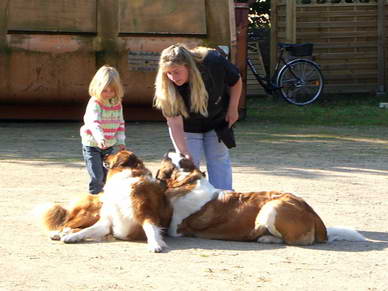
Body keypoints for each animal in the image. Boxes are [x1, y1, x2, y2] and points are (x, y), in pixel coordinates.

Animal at [36, 151, 173, 253]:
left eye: (115, 153)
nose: (105, 154)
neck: (126, 179)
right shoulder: (108, 222)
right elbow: (88, 230)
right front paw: (72, 237)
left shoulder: (146, 213)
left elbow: (150, 229)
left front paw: (155, 244)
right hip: (92, 213)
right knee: (66, 224)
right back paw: (58, 233)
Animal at [154, 152, 364, 245]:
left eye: (173, 160)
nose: (167, 152)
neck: (186, 180)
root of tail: (313, 214)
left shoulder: (175, 229)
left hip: (272, 208)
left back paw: (264, 238)